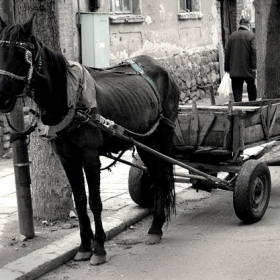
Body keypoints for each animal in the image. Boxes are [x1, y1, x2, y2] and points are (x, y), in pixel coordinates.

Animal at [0, 16, 179, 266]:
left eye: (21, 55)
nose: (1, 96)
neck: (69, 100)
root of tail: (161, 67)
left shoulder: (90, 158)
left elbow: (95, 202)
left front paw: (99, 247)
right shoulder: (67, 159)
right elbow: (80, 201)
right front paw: (85, 246)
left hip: (162, 135)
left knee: (162, 175)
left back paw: (155, 228)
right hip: (144, 142)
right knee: (155, 174)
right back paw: (155, 225)